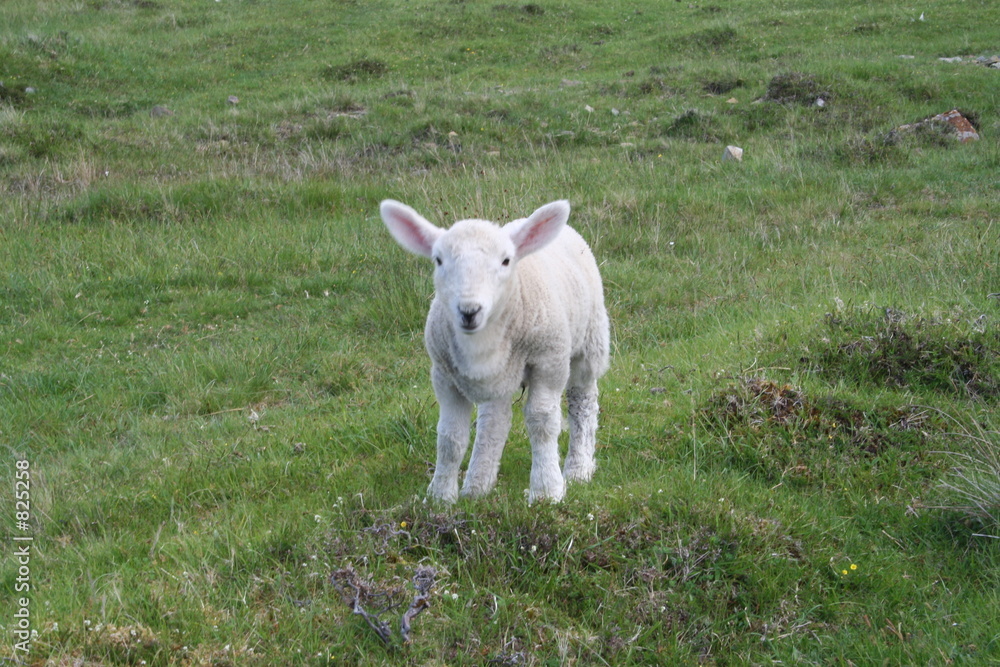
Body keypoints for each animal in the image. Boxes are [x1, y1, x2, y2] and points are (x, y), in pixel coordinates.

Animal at [376, 201, 604, 504]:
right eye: (438, 260)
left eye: (506, 261)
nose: (469, 311)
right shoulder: (444, 375)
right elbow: (450, 436)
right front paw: (440, 497)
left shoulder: (549, 361)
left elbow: (542, 422)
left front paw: (546, 490)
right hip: (499, 378)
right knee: (494, 421)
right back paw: (477, 485)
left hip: (589, 342)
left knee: (583, 402)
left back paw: (579, 468)